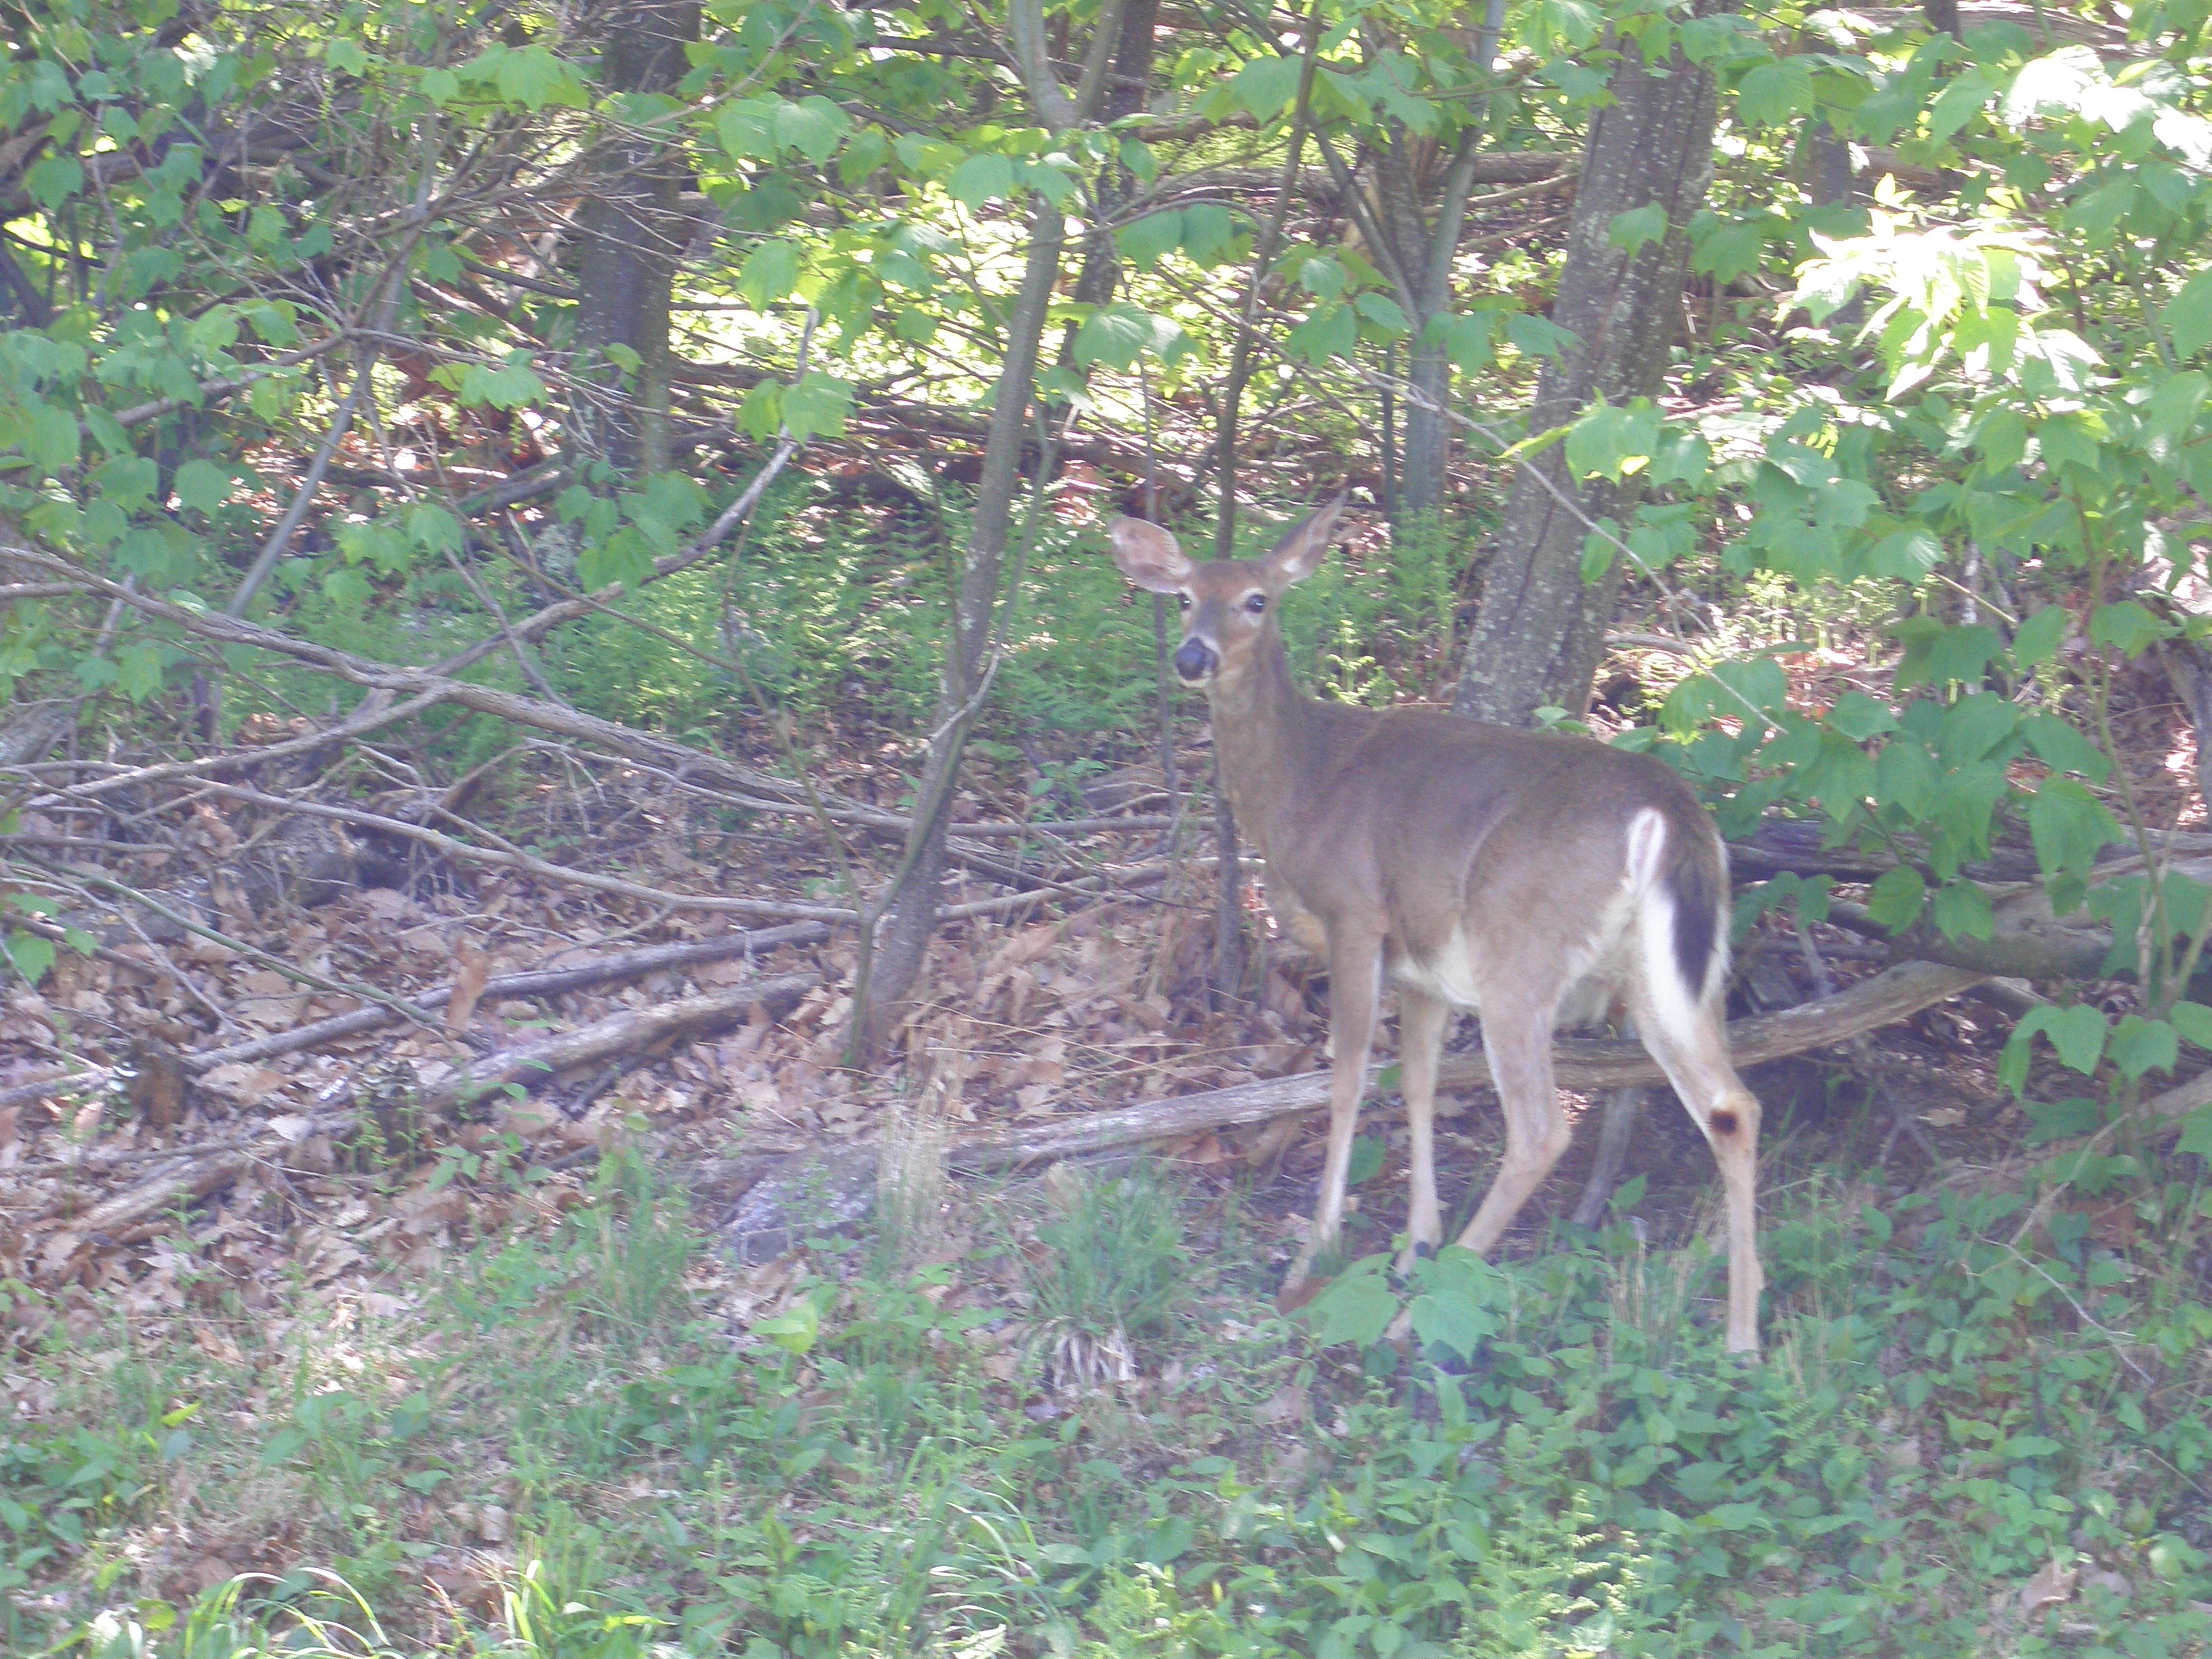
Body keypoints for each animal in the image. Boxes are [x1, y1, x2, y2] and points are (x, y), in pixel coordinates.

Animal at [1115, 499, 1769, 1353]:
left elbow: (1349, 1080)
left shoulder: (1355, 915)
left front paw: (1316, 1253)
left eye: (1257, 600)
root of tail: (1672, 817)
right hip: (1677, 975)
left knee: (1541, 1129)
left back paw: (1414, 1320)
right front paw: (1414, 1245)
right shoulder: (1421, 967)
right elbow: (1418, 1083)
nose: (1193, 656)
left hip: (1520, 949)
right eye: (1187, 597)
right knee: (1733, 1106)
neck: (1302, 788)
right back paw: (1742, 1329)